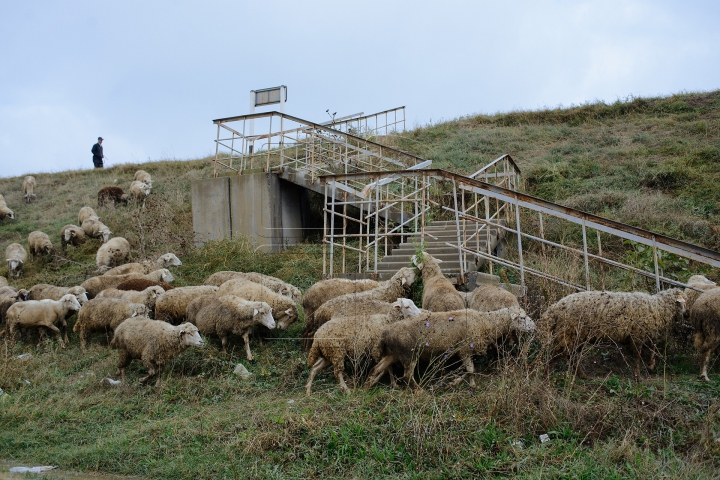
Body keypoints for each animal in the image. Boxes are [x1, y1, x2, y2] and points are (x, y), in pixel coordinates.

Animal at [540, 288, 688, 378]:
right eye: (684, 302)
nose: (687, 314)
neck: (658, 307)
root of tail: (554, 308)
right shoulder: (637, 335)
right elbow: (638, 356)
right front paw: (638, 375)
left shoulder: (646, 335)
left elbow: (652, 349)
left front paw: (651, 365)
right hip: (567, 334)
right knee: (557, 355)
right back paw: (547, 376)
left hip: (576, 336)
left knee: (571, 357)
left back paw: (583, 375)